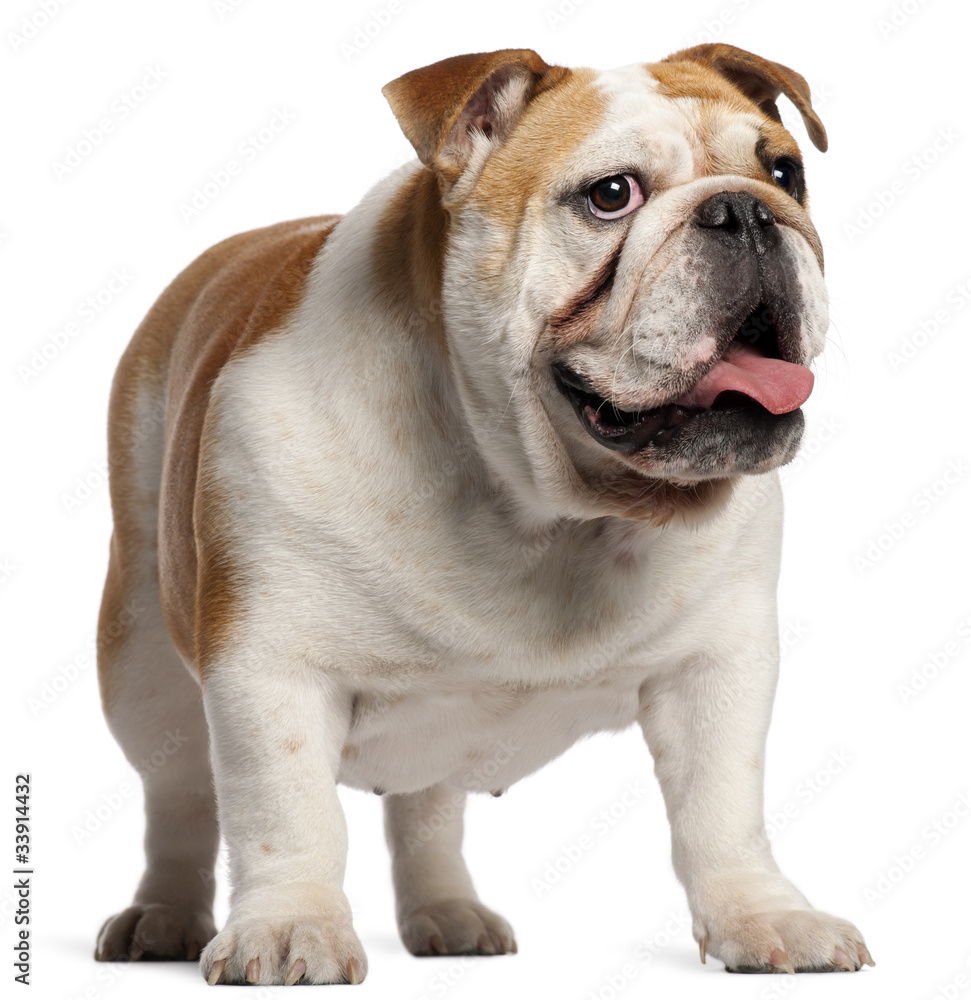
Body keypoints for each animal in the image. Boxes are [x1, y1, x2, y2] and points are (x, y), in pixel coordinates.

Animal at [95, 43, 872, 980]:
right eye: (611, 195)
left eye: (785, 172)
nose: (745, 211)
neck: (540, 506)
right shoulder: (269, 667)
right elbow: (285, 813)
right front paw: (289, 928)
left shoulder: (716, 666)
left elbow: (721, 808)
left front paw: (762, 916)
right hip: (140, 658)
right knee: (177, 799)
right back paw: (163, 918)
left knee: (427, 805)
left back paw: (447, 913)